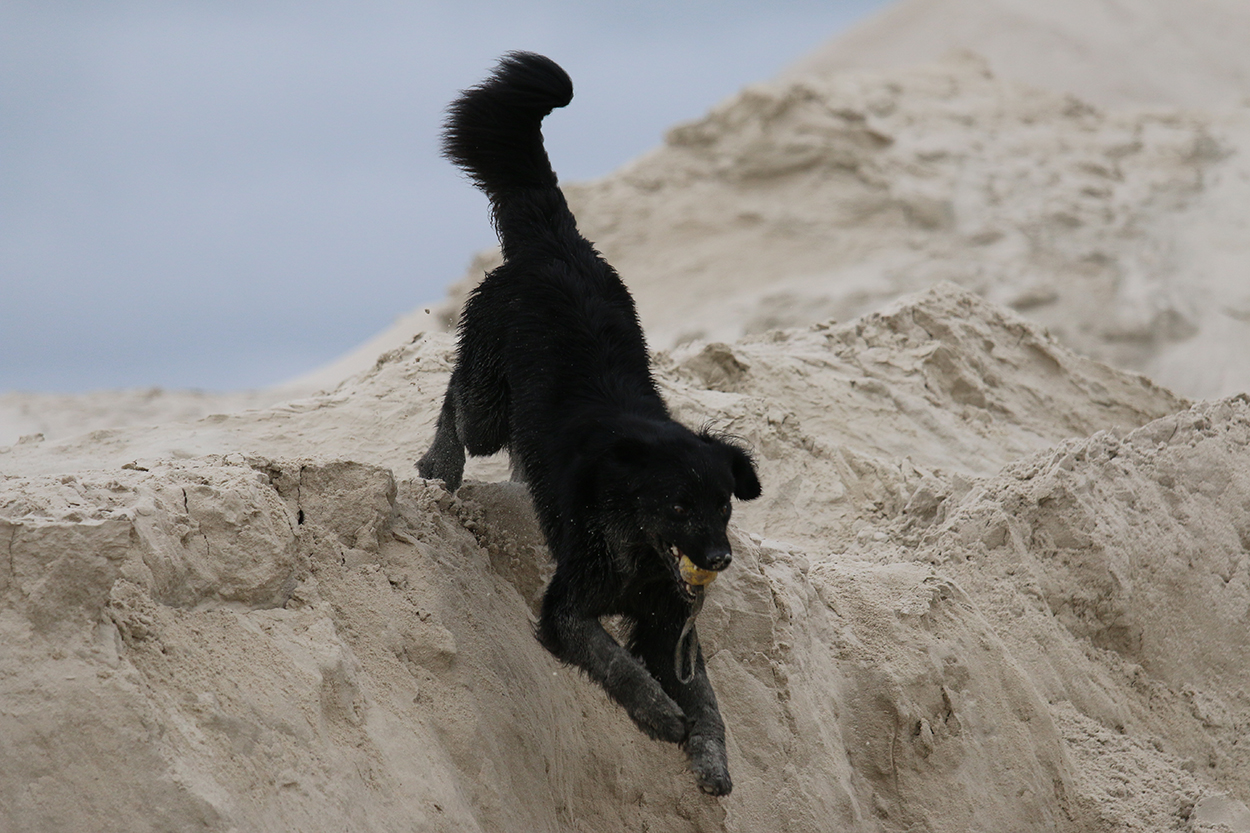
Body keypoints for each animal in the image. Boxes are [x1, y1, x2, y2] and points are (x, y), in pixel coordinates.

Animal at [418, 52, 761, 796]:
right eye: (678, 505)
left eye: (723, 504)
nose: (719, 560)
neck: (636, 541)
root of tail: (556, 243)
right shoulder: (567, 605)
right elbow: (611, 659)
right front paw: (657, 711)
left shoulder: (669, 627)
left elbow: (709, 702)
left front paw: (711, 758)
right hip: (491, 401)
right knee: (458, 401)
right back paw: (439, 465)